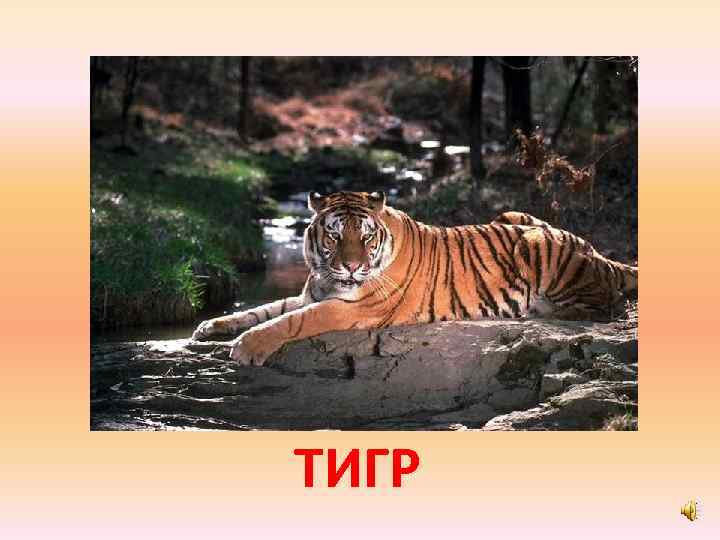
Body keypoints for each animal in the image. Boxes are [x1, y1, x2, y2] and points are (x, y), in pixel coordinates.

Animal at [192, 190, 638, 366]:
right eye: (334, 235)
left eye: (365, 237)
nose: (351, 267)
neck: (330, 278)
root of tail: (594, 248)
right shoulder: (310, 292)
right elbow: (263, 308)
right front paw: (211, 325)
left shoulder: (348, 309)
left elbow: (289, 321)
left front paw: (245, 347)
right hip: (517, 216)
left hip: (536, 241)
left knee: (606, 303)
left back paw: (537, 309)